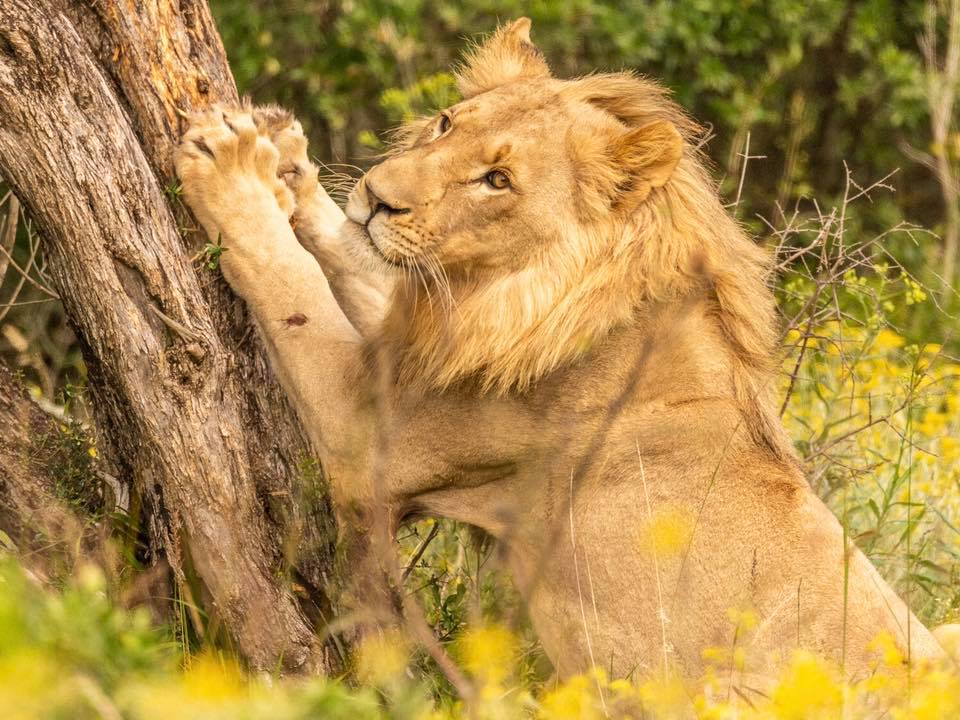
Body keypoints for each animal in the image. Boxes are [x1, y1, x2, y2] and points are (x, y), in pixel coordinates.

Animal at [174, 18, 944, 688]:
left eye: (498, 181)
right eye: (448, 122)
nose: (376, 196)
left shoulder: (368, 438)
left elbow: (287, 280)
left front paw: (234, 169)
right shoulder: (432, 336)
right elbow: (348, 256)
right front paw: (283, 150)